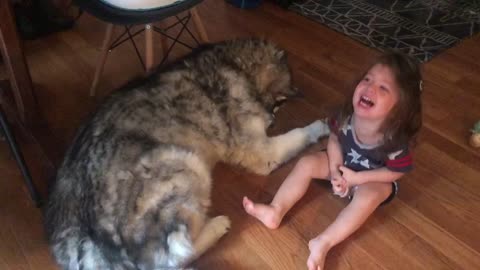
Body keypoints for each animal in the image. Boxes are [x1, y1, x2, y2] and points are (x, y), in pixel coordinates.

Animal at [44, 38, 330, 270]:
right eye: (279, 102)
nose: (271, 120)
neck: (236, 66)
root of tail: (85, 237)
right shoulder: (261, 151)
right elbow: (298, 134)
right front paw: (320, 127)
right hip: (187, 165)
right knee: (177, 256)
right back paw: (216, 227)